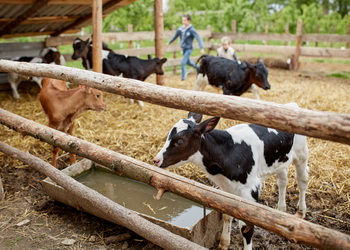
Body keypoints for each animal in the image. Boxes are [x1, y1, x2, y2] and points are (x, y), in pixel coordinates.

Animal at [153, 105, 308, 248]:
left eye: (179, 141)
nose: (156, 160)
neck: (229, 151)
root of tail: (291, 105)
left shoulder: (251, 189)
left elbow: (246, 227)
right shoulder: (226, 189)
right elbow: (226, 214)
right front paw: (224, 243)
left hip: (301, 155)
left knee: (302, 181)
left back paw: (301, 212)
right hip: (281, 161)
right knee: (282, 180)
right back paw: (281, 210)